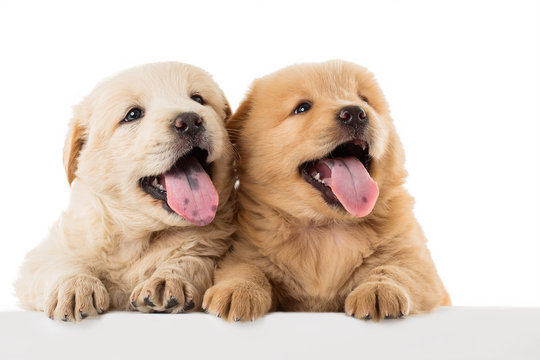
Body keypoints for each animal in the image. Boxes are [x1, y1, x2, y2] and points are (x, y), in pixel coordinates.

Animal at [14, 61, 234, 320]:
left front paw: (167, 280)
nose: (189, 120)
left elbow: (193, 259)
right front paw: (75, 286)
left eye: (198, 99)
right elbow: (59, 262)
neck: (140, 236)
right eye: (132, 115)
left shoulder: (215, 246)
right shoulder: (47, 251)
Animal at [205, 60, 450, 322]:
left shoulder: (418, 262)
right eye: (302, 108)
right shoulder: (243, 251)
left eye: (364, 99)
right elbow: (245, 268)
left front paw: (378, 290)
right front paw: (236, 290)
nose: (355, 113)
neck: (326, 228)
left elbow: (396, 269)